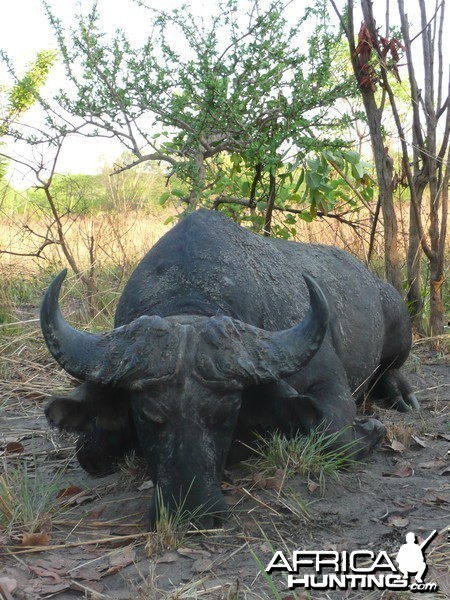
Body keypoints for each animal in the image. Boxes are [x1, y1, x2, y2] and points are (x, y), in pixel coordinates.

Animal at [39, 209, 418, 528]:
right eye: (147, 415)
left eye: (225, 413)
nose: (192, 509)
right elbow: (91, 452)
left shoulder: (327, 383)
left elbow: (334, 438)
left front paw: (372, 429)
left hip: (399, 326)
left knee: (390, 369)